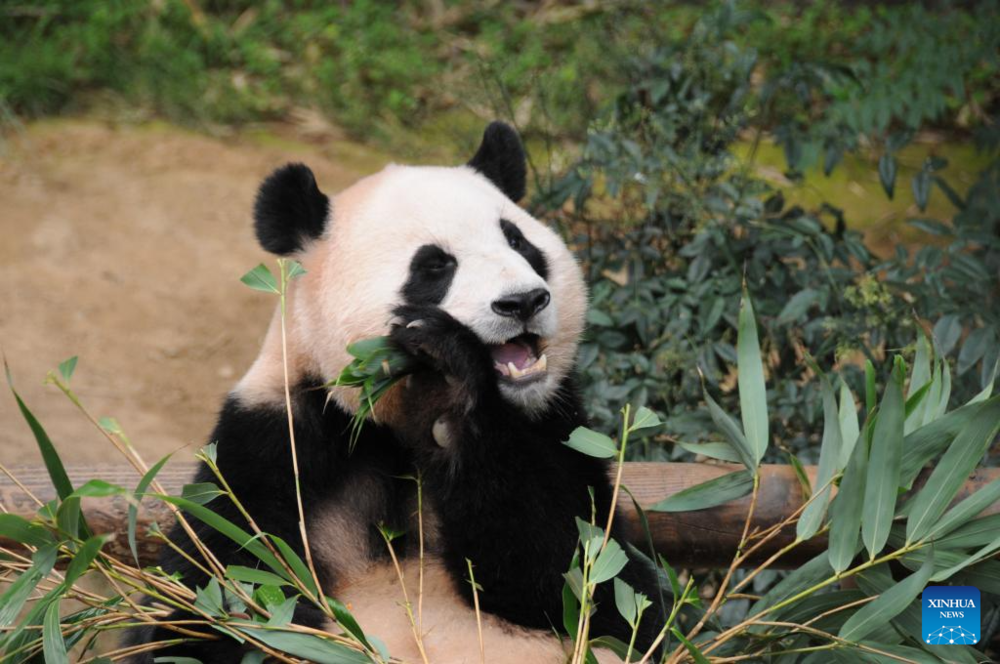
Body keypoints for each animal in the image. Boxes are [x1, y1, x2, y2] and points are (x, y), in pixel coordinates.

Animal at [131, 122, 664, 660]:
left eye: (519, 242)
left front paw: (450, 389)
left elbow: (585, 579)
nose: (523, 301)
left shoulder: (559, 428)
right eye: (434, 265)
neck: (389, 428)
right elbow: (217, 589)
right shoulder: (272, 439)